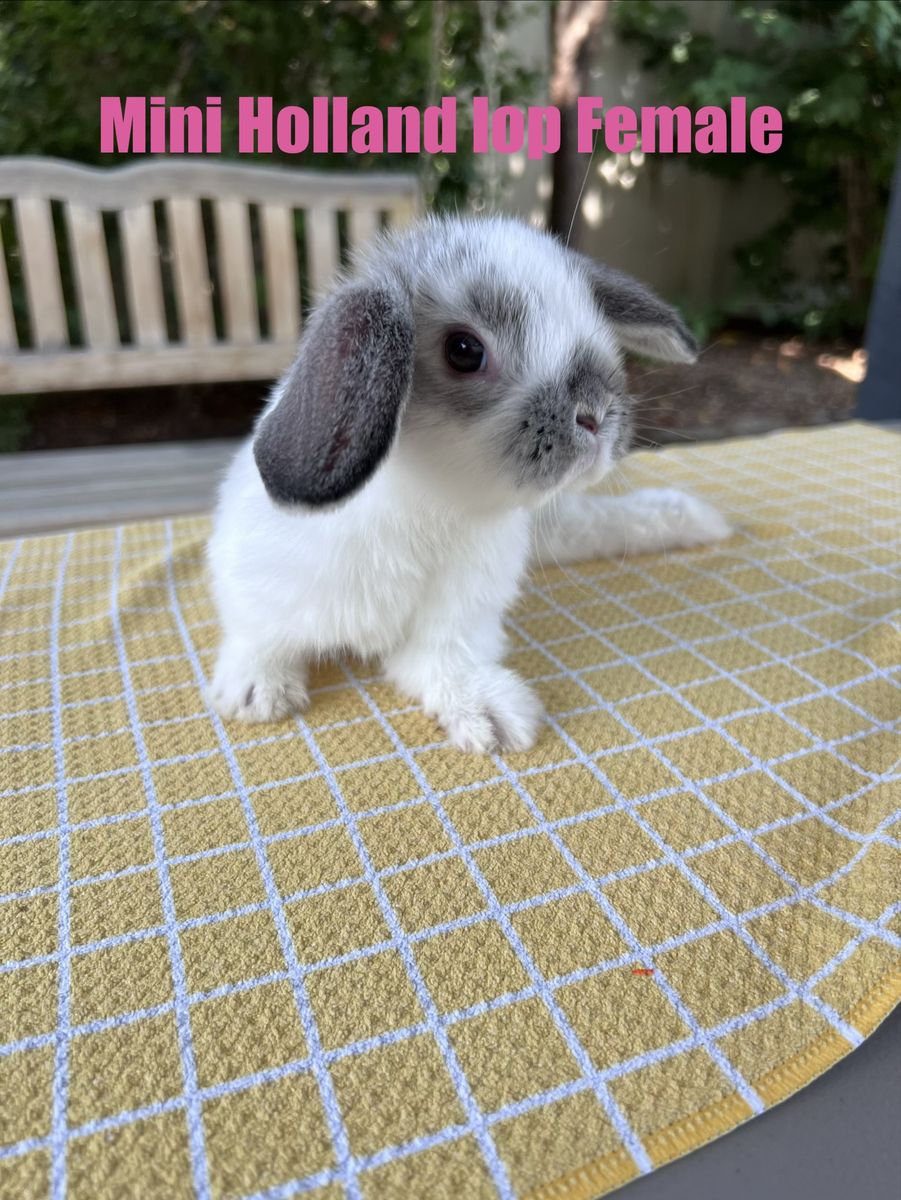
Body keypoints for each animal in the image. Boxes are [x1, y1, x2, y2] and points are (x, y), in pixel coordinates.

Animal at [207, 214, 730, 753]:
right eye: (464, 350)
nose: (596, 415)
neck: (437, 503)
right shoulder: (258, 586)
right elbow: (259, 637)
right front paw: (257, 694)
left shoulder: (458, 619)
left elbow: (441, 664)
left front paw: (491, 716)